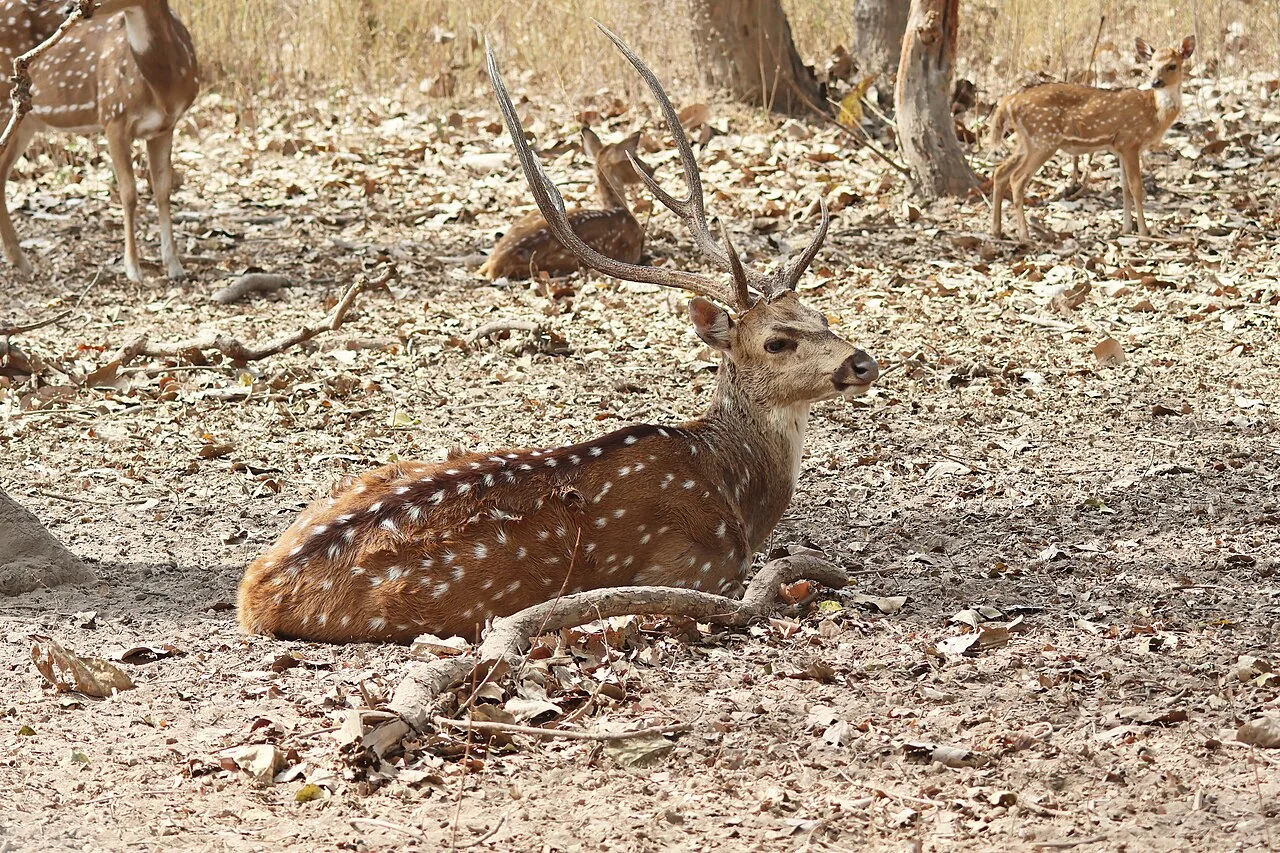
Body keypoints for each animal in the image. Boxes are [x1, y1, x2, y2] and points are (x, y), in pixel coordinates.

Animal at [0, 0, 199, 281]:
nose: (69, 8)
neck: (163, 89)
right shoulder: (113, 116)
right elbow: (128, 194)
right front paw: (133, 269)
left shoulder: (165, 127)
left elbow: (162, 190)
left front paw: (175, 266)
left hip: (26, 122)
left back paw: (21, 262)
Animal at [989, 35, 1195, 241]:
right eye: (1150, 66)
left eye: (1172, 65)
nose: (1155, 82)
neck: (1154, 113)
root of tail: (1009, 101)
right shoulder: (1130, 142)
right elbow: (1136, 186)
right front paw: (1144, 232)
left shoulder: (1120, 146)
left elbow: (1124, 186)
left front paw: (1126, 229)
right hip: (1044, 138)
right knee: (1017, 179)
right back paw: (1025, 236)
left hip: (1027, 141)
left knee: (1000, 171)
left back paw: (997, 230)